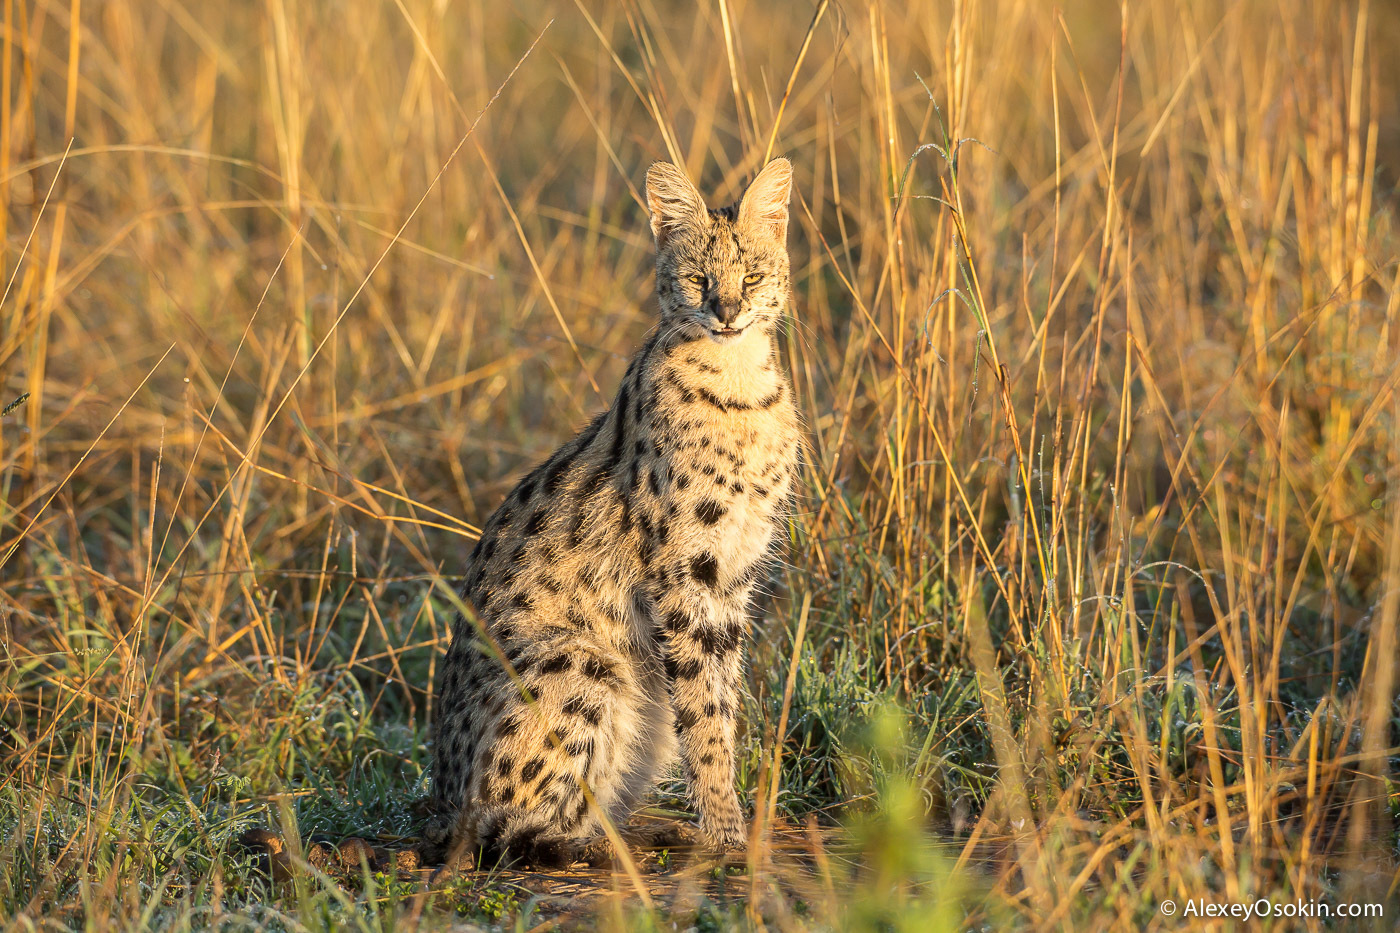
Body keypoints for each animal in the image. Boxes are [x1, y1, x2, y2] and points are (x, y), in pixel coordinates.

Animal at [422, 156, 800, 862]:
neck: (740, 384)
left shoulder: (733, 572)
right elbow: (704, 712)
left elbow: (721, 699)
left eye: (752, 276)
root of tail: (434, 803)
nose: (727, 313)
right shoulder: (684, 569)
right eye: (698, 278)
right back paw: (613, 843)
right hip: (584, 660)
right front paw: (726, 832)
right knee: (499, 827)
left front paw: (726, 819)